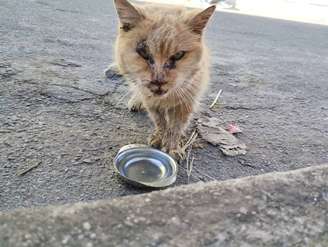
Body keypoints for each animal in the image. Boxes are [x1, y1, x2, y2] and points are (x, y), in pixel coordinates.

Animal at [109, 0, 217, 160]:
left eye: (178, 55)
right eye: (143, 52)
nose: (158, 81)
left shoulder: (185, 103)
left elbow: (176, 127)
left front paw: (172, 147)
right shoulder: (151, 102)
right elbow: (160, 122)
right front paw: (160, 137)